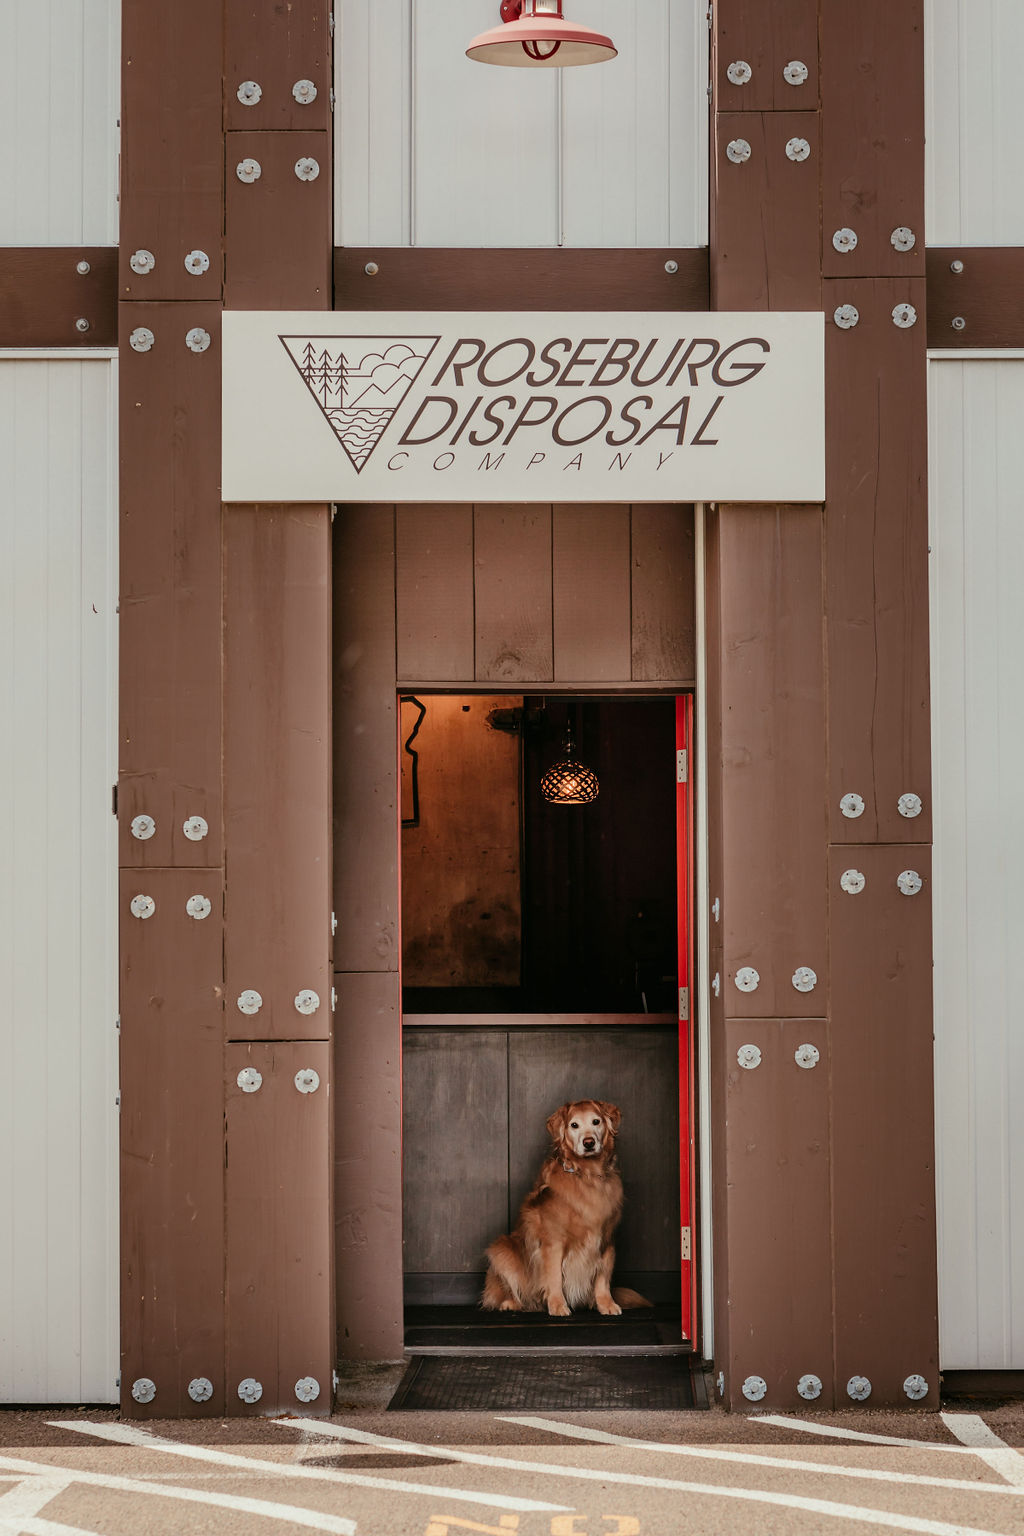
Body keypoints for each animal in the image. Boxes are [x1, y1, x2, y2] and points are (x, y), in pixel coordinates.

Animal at [478, 1099, 647, 1314]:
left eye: (596, 1121)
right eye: (574, 1125)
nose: (589, 1142)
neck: (587, 1175)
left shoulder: (606, 1240)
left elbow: (603, 1277)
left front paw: (606, 1304)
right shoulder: (553, 1243)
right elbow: (554, 1277)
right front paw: (558, 1305)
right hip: (502, 1249)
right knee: (511, 1291)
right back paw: (511, 1303)